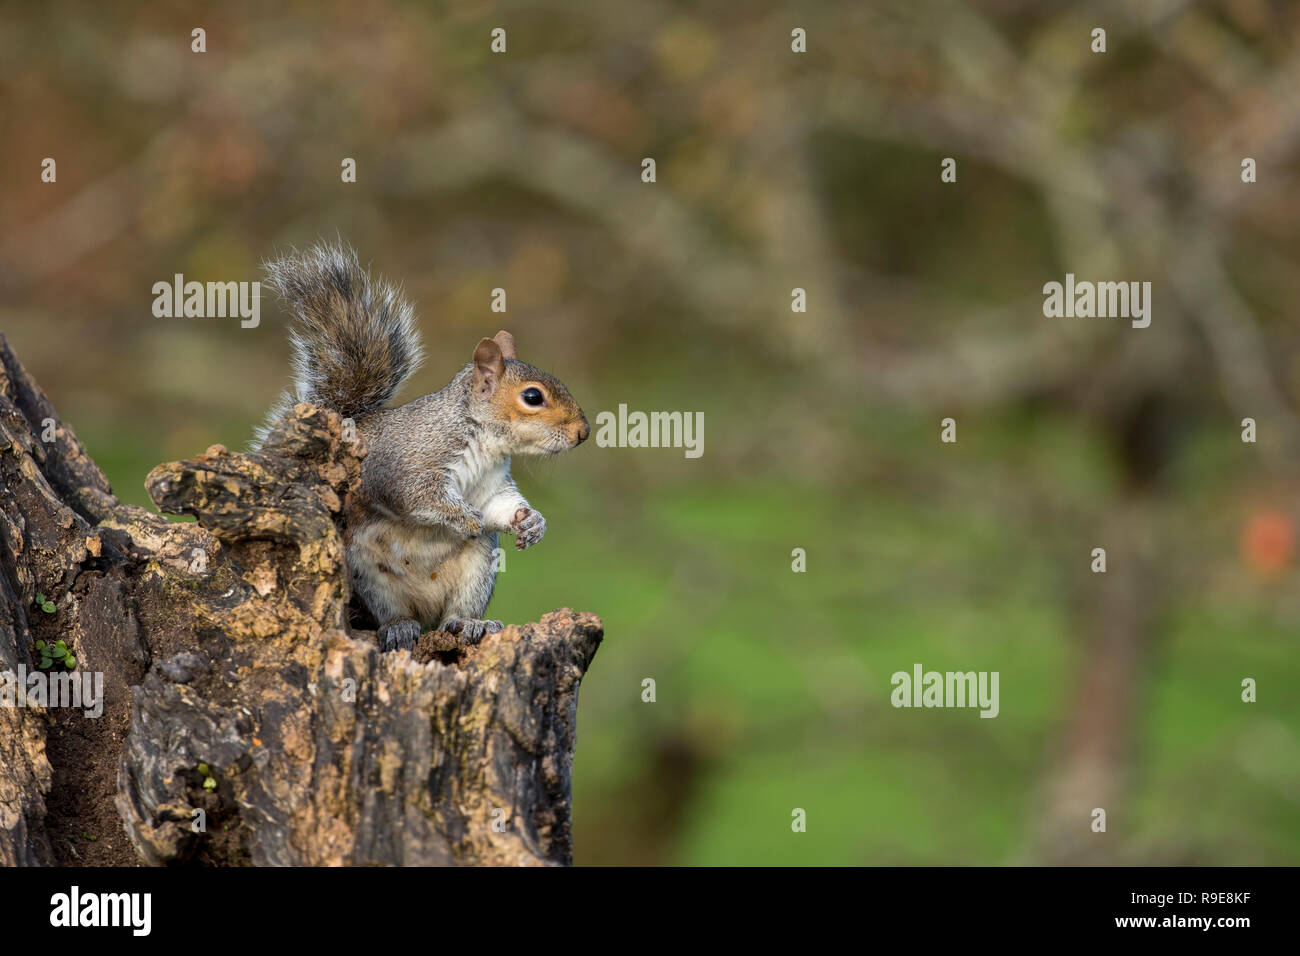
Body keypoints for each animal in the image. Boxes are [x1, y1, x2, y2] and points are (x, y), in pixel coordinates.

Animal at [257, 241, 589, 652]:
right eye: (532, 397)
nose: (583, 432)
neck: (481, 439)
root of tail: (424, 607)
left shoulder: (492, 483)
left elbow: (500, 505)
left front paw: (530, 522)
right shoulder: (409, 462)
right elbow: (418, 496)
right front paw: (468, 519)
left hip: (477, 572)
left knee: (453, 614)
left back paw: (470, 624)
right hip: (368, 573)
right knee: (392, 613)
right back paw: (399, 626)